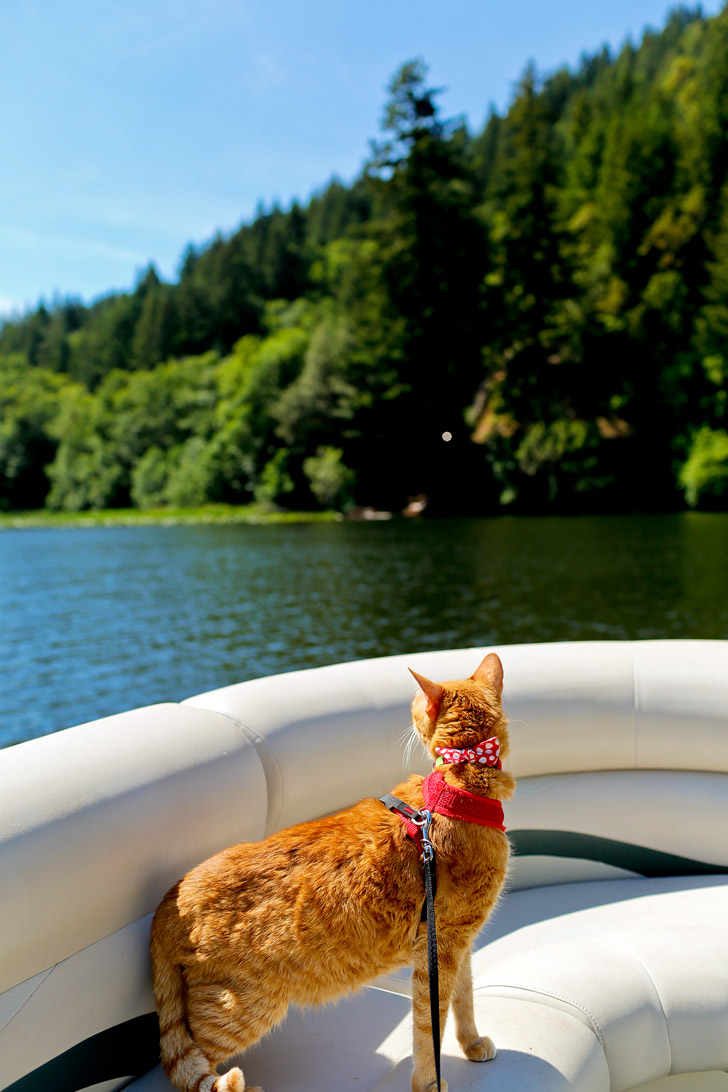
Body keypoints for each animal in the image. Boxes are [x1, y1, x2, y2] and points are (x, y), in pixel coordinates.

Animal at [149, 650, 512, 1092]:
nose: (407, 715)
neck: (461, 787)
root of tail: (169, 900)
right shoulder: (441, 947)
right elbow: (430, 1026)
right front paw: (430, 1083)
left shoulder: (458, 941)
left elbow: (465, 997)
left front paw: (472, 1043)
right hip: (244, 1008)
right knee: (181, 1063)